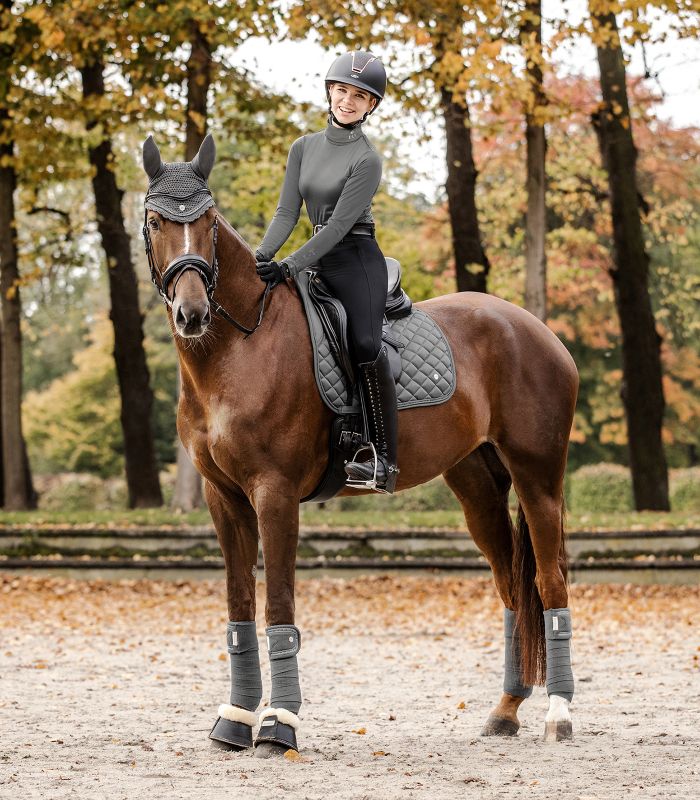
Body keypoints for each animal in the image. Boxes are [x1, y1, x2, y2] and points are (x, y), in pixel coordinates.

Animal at [142, 136, 580, 756]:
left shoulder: (274, 494)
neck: (237, 349)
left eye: (206, 222)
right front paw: (236, 718)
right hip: (477, 488)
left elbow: (278, 604)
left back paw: (559, 714)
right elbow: (239, 606)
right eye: (157, 221)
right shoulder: (222, 497)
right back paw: (505, 710)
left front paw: (279, 724)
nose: (192, 313)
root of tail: (536, 328)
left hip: (538, 478)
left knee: (550, 582)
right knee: (513, 591)